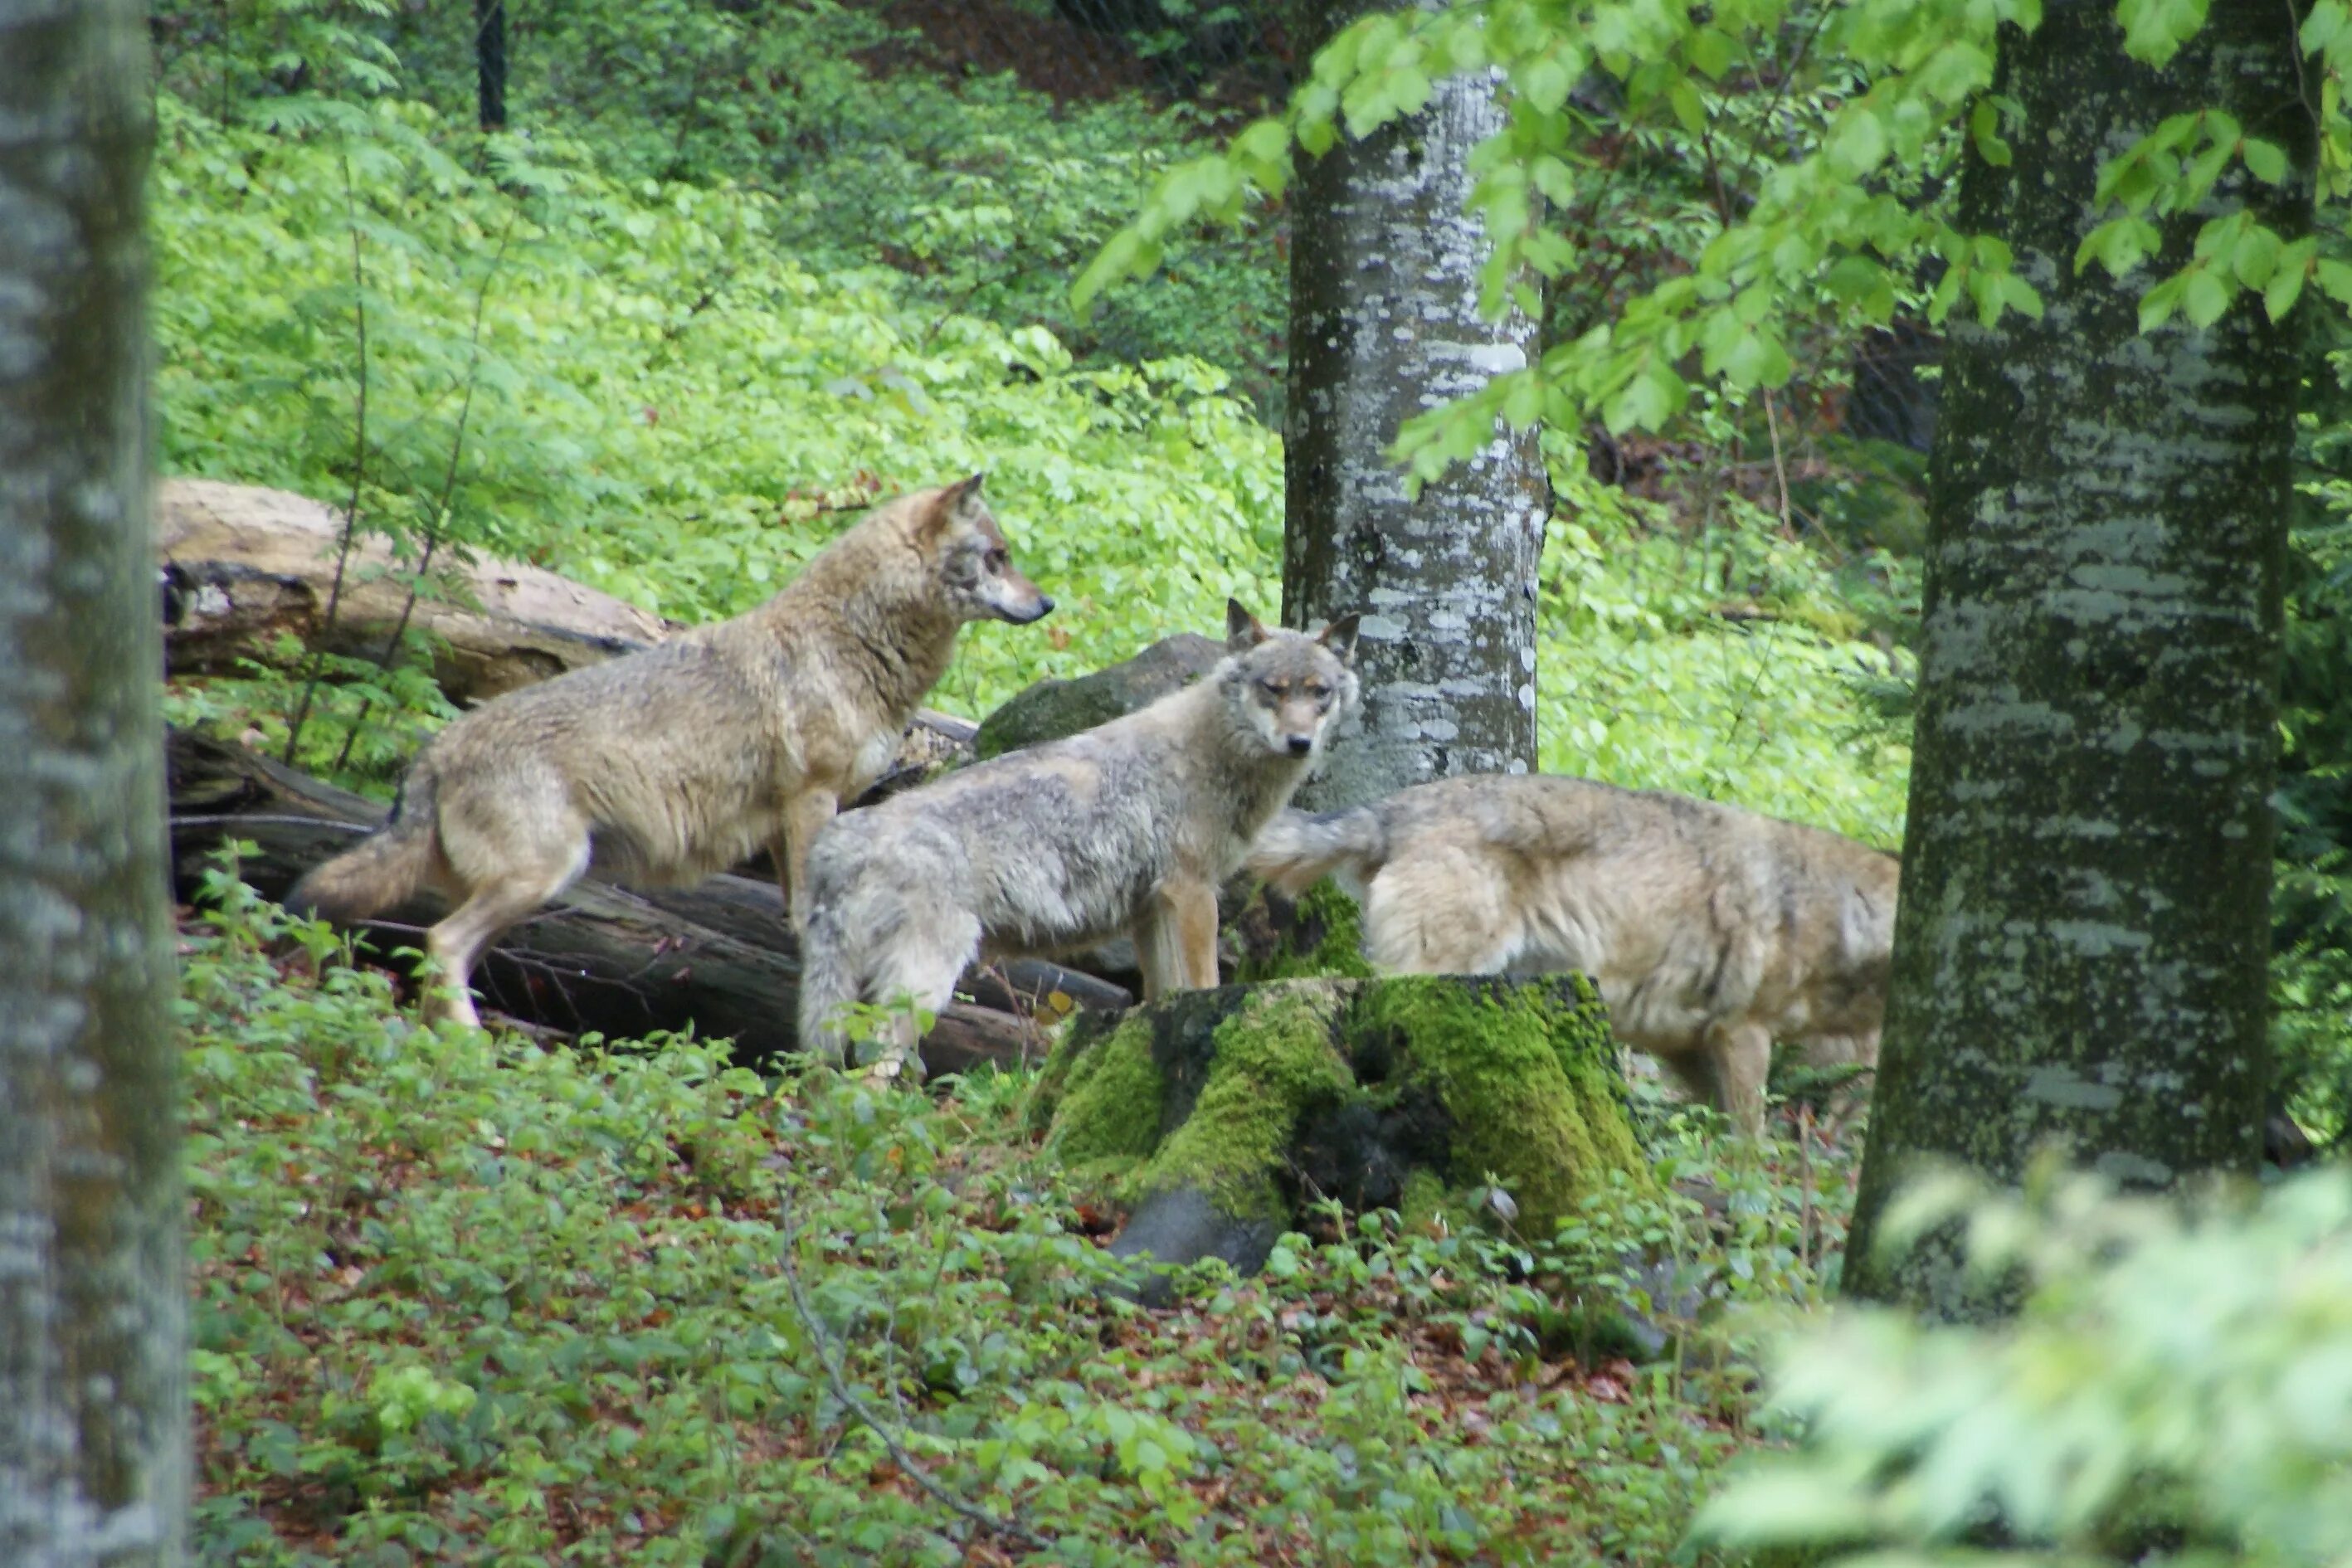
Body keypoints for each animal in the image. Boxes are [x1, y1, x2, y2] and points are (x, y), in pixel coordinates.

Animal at [285, 475, 1049, 1030]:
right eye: (999, 557)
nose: (1046, 606)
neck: (852, 644)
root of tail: (436, 750)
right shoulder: (812, 798)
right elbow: (813, 907)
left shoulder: (786, 817)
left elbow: (793, 904)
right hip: (543, 875)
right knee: (440, 944)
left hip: (521, 892)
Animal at [804, 601, 1373, 1081]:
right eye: (1273, 689)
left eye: (1319, 693)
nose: (1299, 743)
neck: (1209, 757)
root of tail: (838, 843)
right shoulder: (1194, 894)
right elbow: (1207, 984)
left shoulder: (1150, 913)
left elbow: (1163, 996)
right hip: (921, 986)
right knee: (867, 1071)